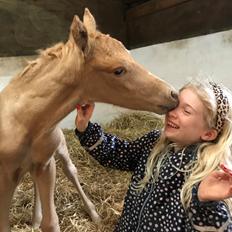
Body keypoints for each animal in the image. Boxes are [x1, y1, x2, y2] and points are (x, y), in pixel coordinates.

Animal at [0, 8, 178, 231]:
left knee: (70, 170)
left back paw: (89, 214)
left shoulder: (46, 164)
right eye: (118, 70)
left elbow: (51, 222)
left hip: (59, 150)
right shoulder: (5, 179)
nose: (173, 94)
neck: (23, 122)